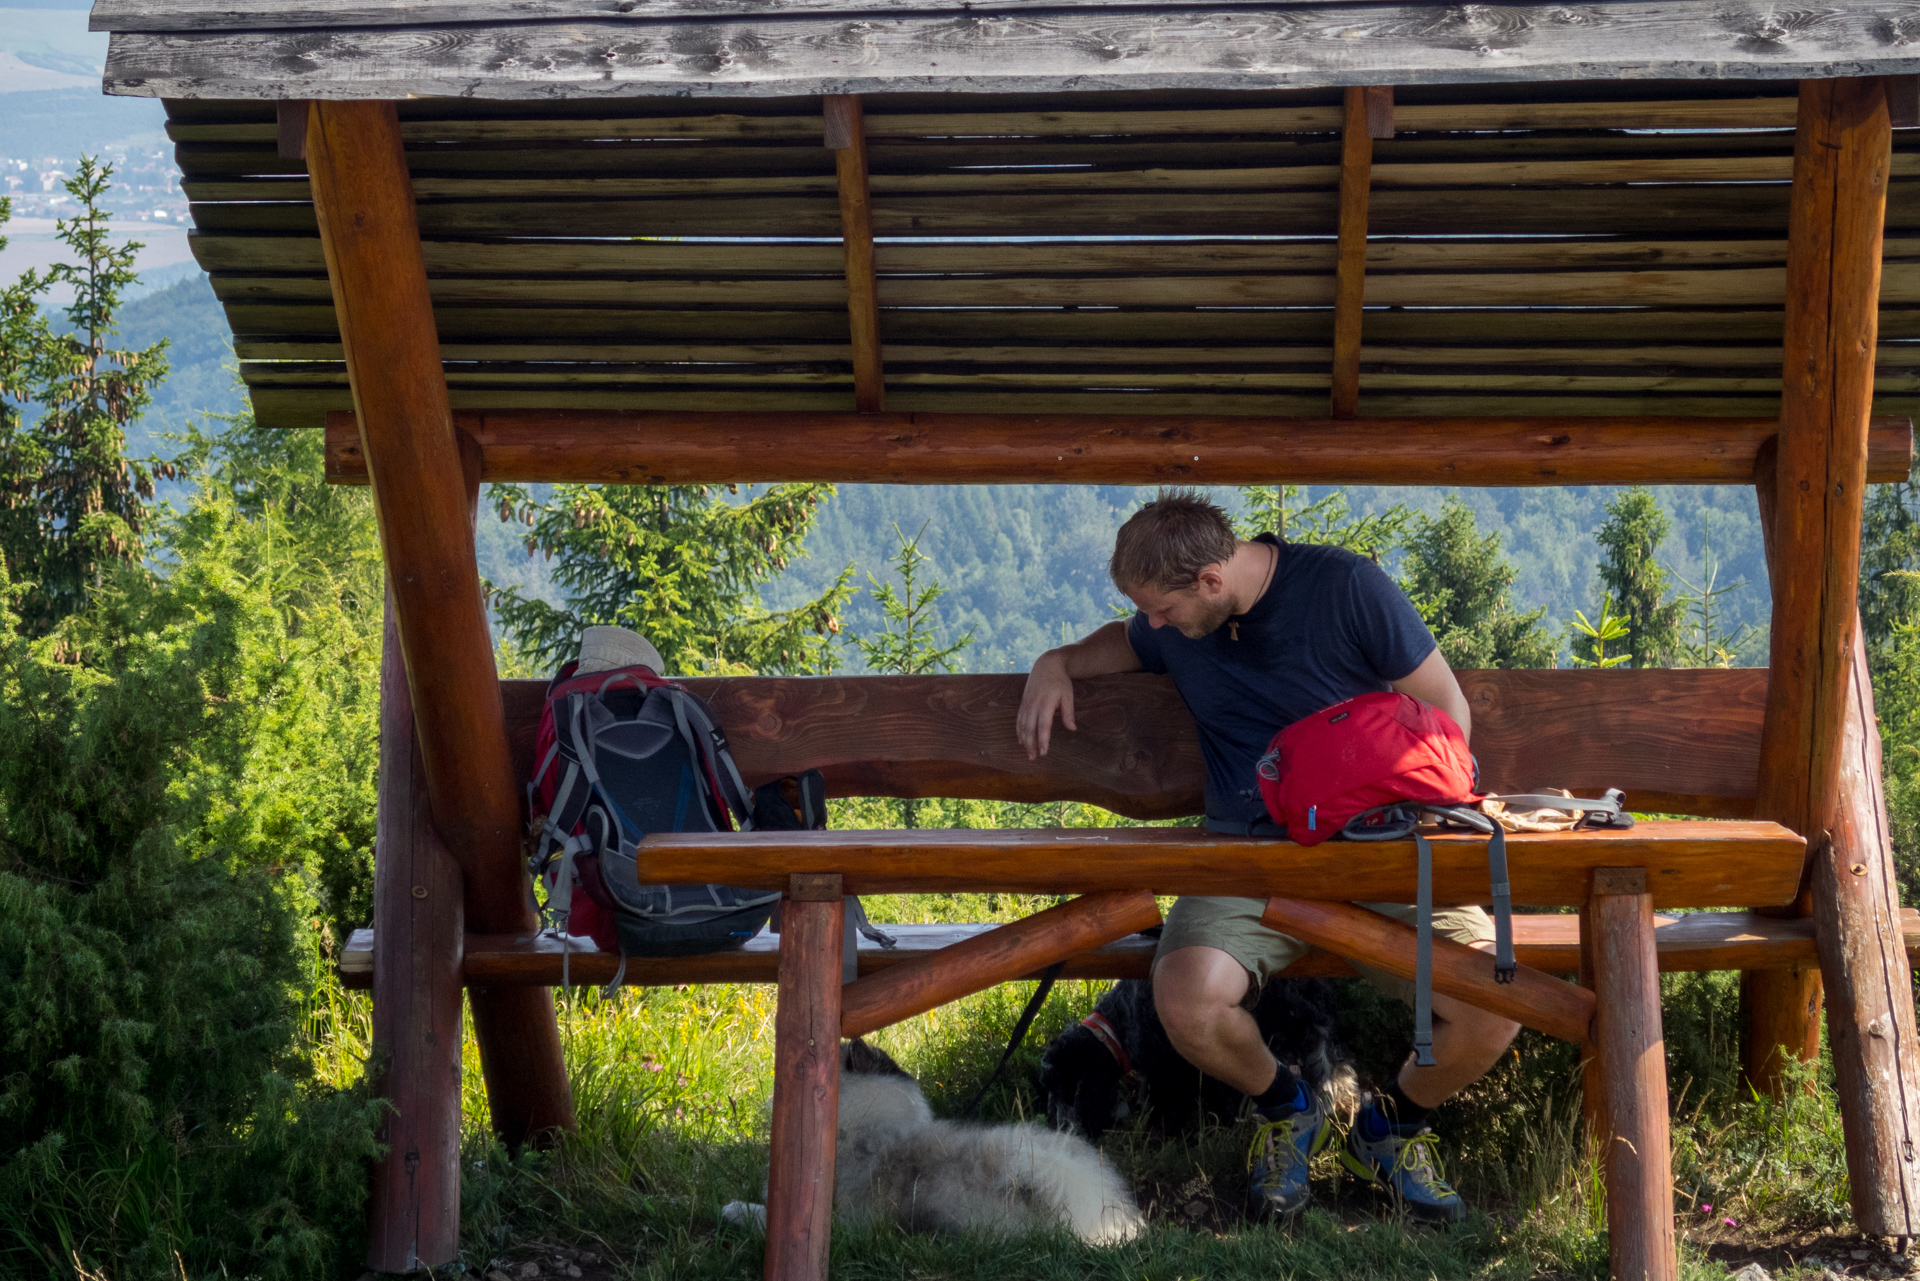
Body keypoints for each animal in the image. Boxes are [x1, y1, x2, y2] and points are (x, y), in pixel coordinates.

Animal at [1044, 975, 1359, 1144]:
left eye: (1065, 1090)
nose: (1062, 1129)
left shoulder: (1162, 1071)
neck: (1117, 1021)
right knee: (1338, 1075)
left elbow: (1164, 1109)